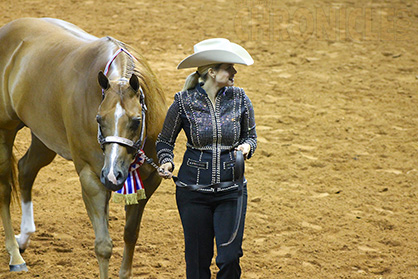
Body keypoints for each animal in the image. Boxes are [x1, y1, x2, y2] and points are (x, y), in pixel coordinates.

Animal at [0, 18, 167, 279]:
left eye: (136, 121)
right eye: (98, 119)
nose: (113, 174)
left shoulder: (149, 181)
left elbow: (130, 235)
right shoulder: (91, 178)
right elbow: (103, 246)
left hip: (43, 136)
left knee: (26, 169)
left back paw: (24, 238)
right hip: (5, 132)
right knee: (5, 190)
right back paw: (15, 257)